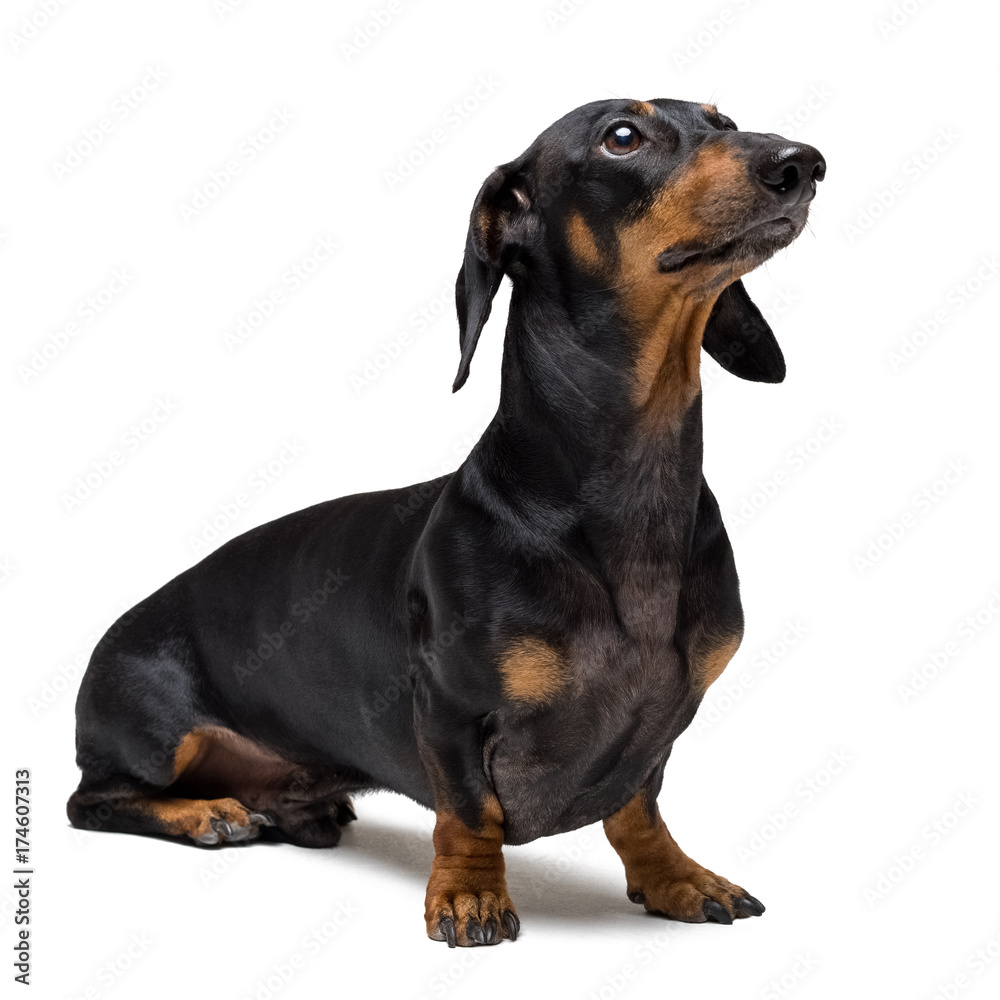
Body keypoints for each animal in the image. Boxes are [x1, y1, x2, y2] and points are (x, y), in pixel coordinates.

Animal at [68, 97, 820, 948]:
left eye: (722, 119)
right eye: (621, 136)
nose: (804, 163)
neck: (629, 486)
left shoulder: (659, 728)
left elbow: (639, 810)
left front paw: (675, 878)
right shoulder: (451, 709)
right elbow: (468, 813)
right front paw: (469, 894)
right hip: (159, 734)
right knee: (93, 799)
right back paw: (205, 814)